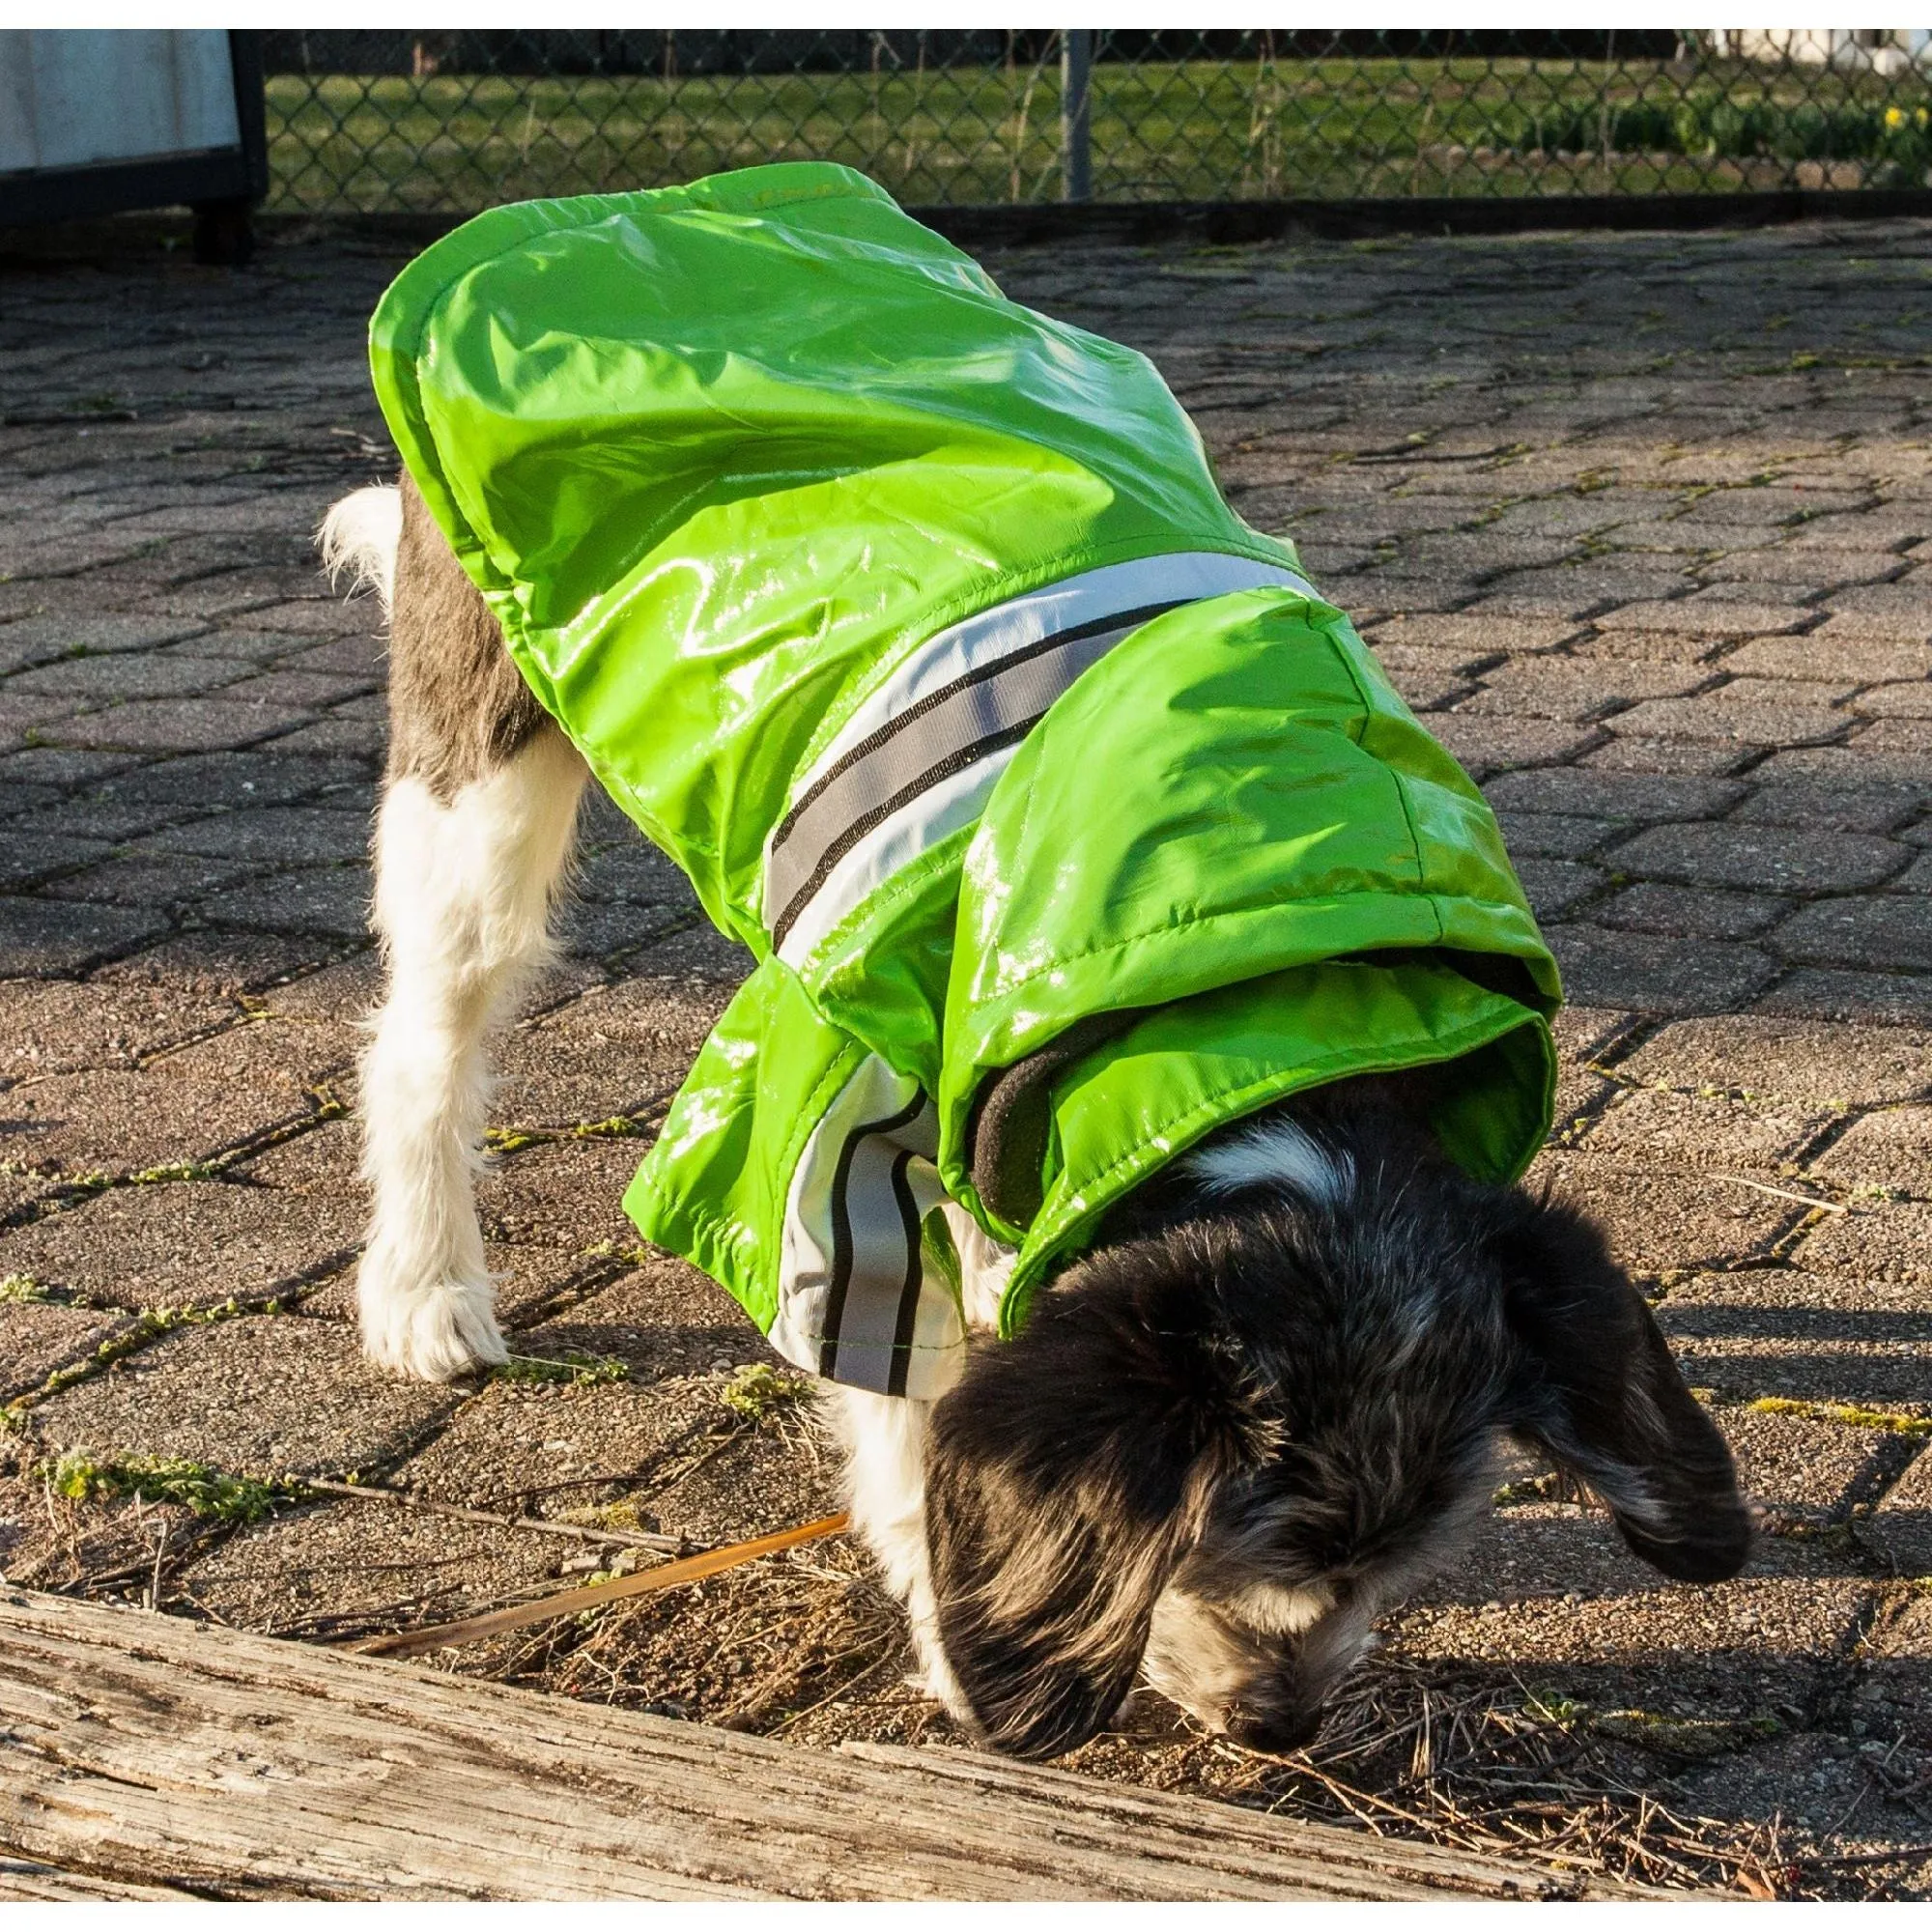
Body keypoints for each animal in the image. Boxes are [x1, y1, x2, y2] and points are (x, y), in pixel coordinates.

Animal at [321, 464, 1754, 1754]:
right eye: (1212, 1539)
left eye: (1412, 1558)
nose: (1281, 1726)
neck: (1237, 1016)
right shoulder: (833, 1122)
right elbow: (904, 1403)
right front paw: (964, 1644)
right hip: (481, 772)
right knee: (420, 1043)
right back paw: (426, 1292)